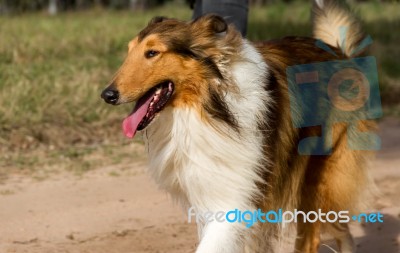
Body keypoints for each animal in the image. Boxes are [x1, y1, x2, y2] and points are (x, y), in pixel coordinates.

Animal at [100, 0, 376, 253]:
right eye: (129, 51)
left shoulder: (235, 195)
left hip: (318, 175)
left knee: (313, 235)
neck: (208, 107)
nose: (107, 95)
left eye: (152, 53)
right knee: (340, 229)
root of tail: (340, 54)